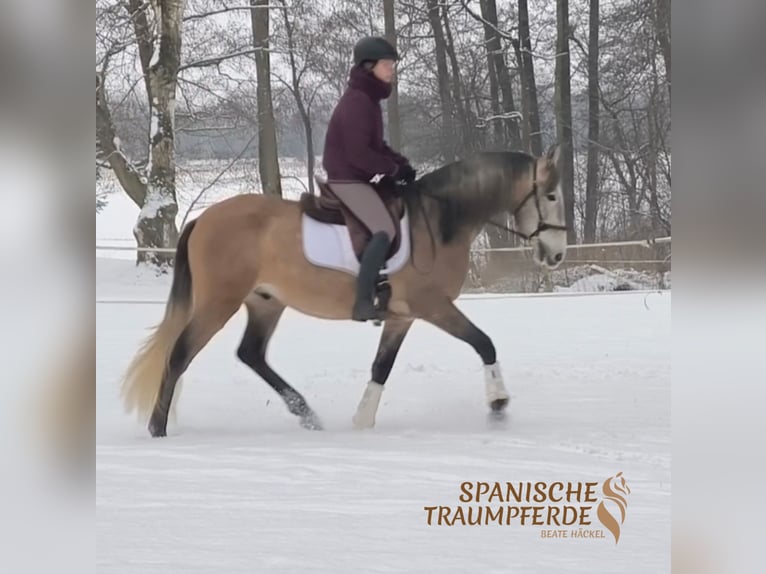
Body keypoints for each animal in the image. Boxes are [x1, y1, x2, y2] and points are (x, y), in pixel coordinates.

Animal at [120, 144, 569, 437]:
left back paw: (307, 414)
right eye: (550, 196)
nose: (558, 255)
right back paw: (158, 429)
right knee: (180, 354)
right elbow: (484, 342)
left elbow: (381, 367)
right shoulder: (432, 305)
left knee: (251, 354)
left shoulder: (403, 316)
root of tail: (203, 219)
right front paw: (498, 405)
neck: (439, 220)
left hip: (265, 302)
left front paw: (362, 421)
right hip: (219, 302)